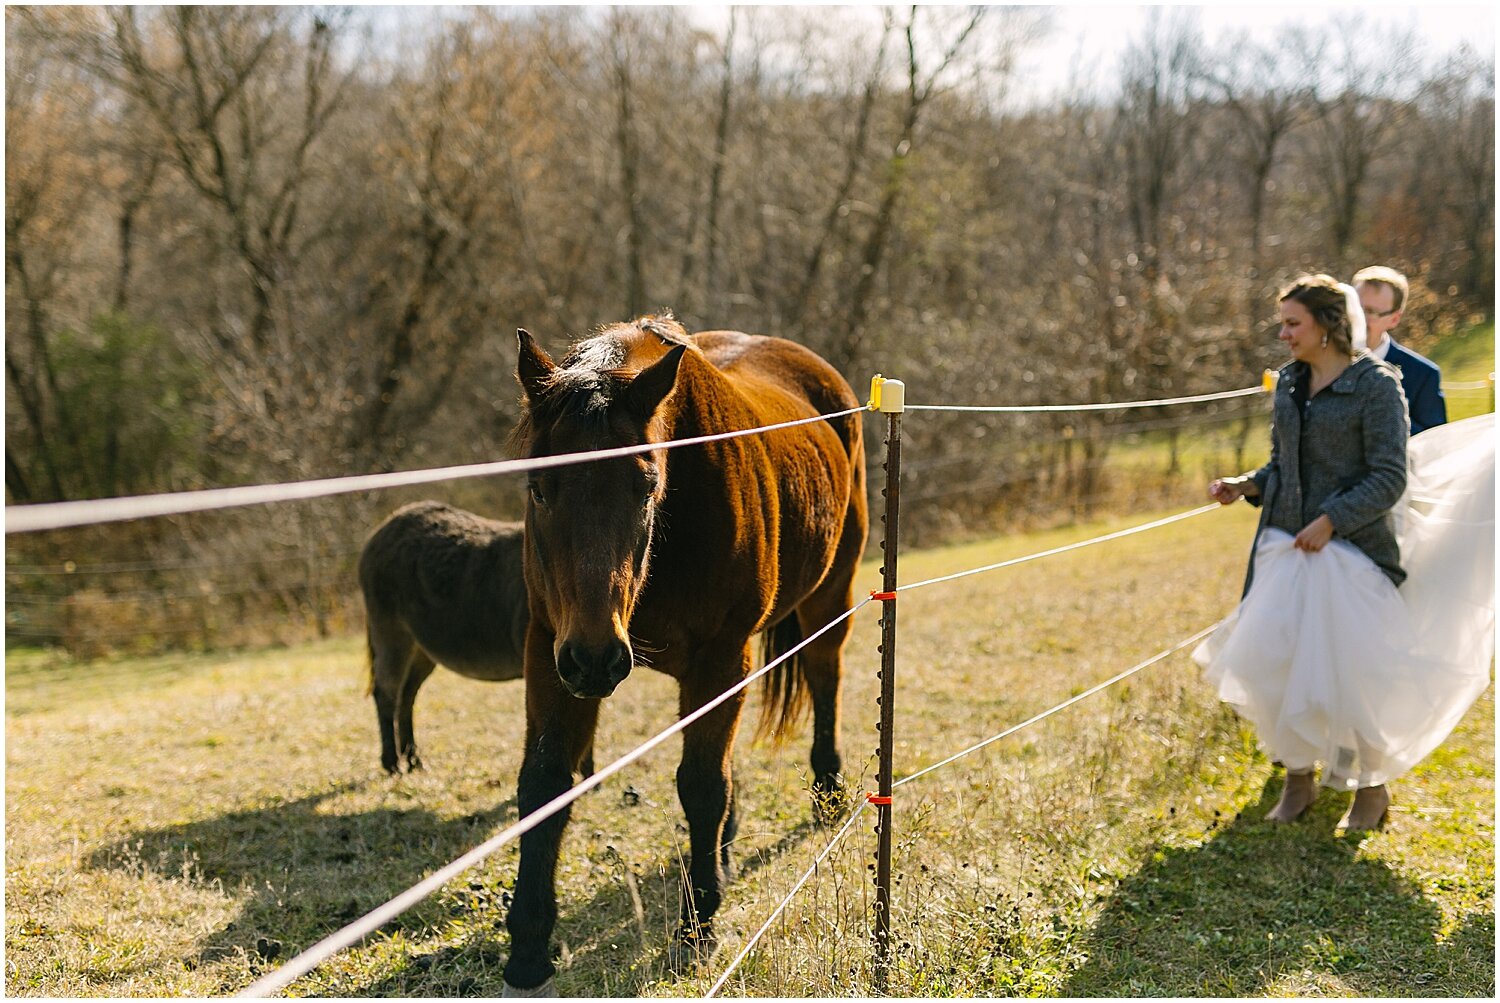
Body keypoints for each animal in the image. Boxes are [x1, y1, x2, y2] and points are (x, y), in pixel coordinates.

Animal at [501, 314, 870, 995]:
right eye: (539, 489)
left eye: (646, 485)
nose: (596, 658)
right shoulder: (550, 650)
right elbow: (543, 787)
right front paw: (529, 949)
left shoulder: (719, 659)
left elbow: (701, 784)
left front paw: (698, 929)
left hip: (829, 596)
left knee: (825, 676)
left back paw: (827, 791)